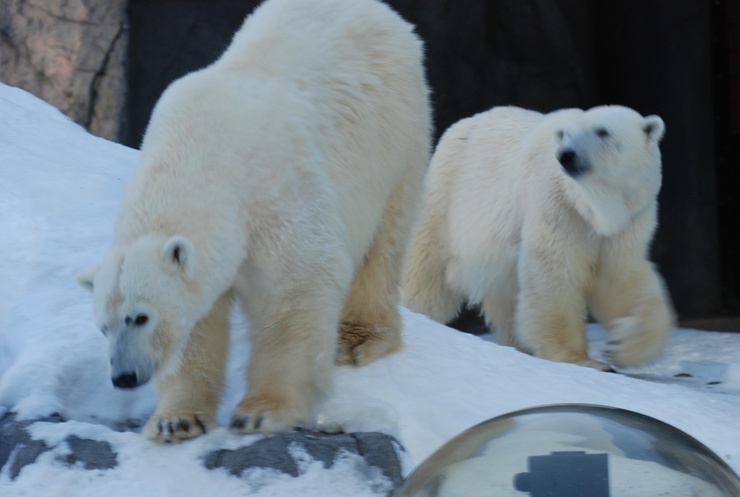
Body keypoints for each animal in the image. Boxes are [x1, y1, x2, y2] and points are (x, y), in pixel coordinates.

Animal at [78, 0, 430, 444]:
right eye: (102, 327)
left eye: (140, 316)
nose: (124, 376)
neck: (197, 156)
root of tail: (383, 13)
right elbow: (197, 323)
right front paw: (176, 420)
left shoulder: (274, 192)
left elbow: (298, 287)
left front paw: (262, 412)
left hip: (395, 136)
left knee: (385, 241)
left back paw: (357, 338)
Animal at [404, 103, 676, 368]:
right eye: (567, 134)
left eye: (602, 131)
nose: (567, 155)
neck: (595, 210)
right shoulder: (558, 205)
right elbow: (555, 270)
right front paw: (578, 359)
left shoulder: (628, 223)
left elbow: (621, 279)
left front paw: (622, 345)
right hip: (447, 198)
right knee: (426, 271)